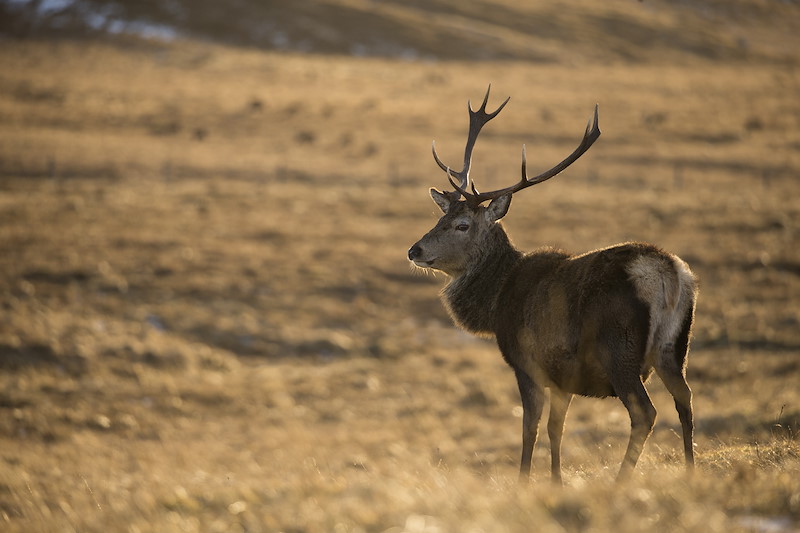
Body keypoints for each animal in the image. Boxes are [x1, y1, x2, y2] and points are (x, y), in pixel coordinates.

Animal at [407, 86, 697, 484]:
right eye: (440, 217)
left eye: (462, 225)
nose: (415, 250)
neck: (496, 303)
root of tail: (667, 272)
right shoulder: (563, 372)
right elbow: (556, 428)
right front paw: (556, 481)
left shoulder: (526, 362)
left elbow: (530, 427)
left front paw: (523, 482)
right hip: (674, 347)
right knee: (685, 399)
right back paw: (692, 471)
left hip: (619, 347)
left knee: (645, 412)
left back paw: (620, 481)